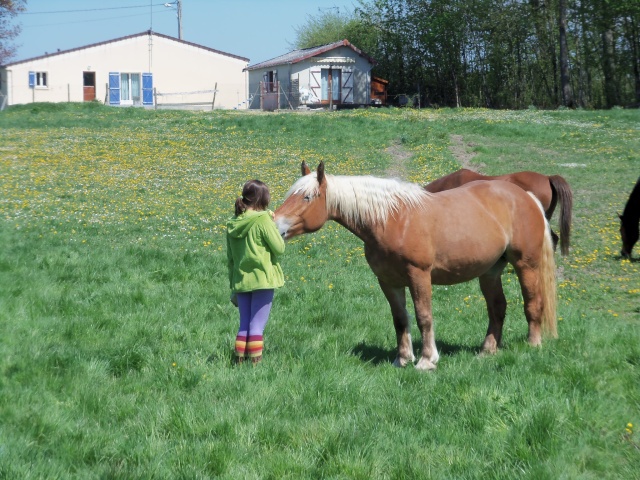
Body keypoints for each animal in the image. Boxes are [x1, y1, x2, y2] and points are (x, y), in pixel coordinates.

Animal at [276, 162, 556, 372]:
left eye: (307, 197)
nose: (277, 226)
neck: (392, 220)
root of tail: (525, 196)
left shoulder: (419, 276)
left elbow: (424, 316)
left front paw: (426, 360)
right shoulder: (388, 281)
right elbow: (400, 319)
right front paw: (402, 359)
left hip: (526, 265)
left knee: (533, 303)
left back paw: (533, 344)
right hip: (490, 272)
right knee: (497, 308)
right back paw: (487, 351)